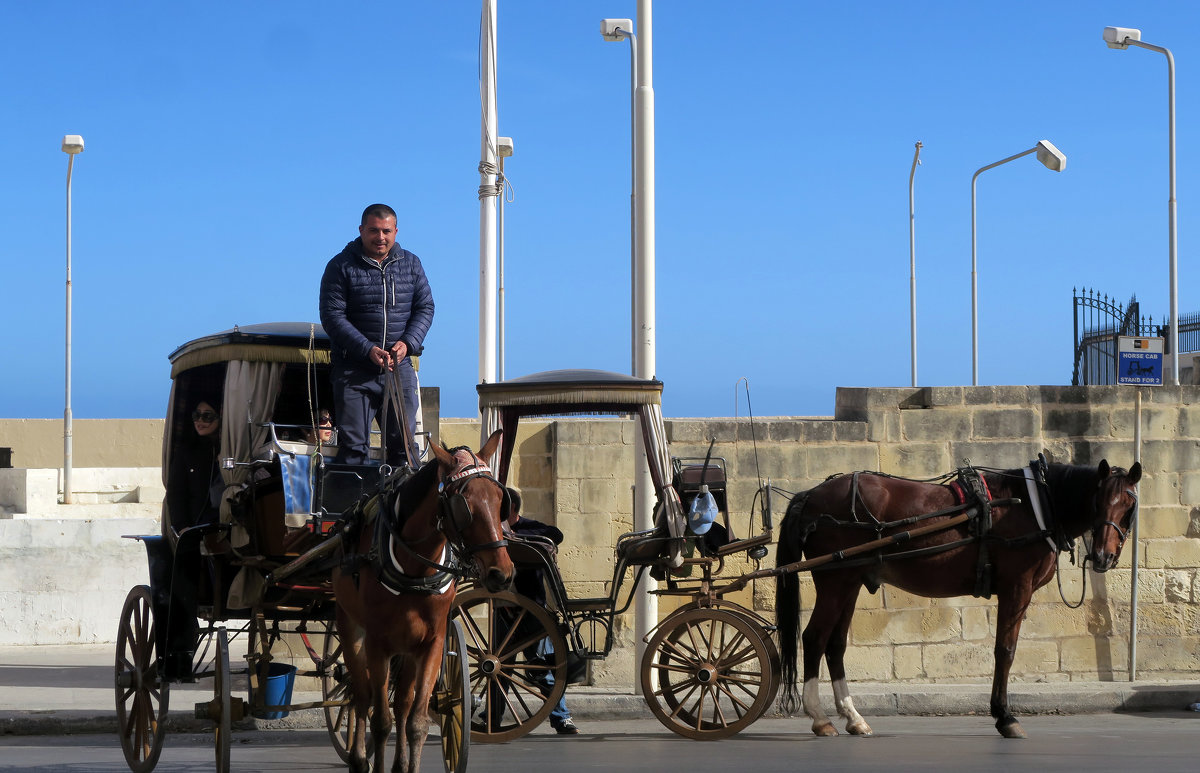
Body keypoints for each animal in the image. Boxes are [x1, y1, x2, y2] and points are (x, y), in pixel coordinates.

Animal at [331, 432, 513, 773]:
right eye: (464, 505)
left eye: (500, 500)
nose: (503, 573)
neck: (415, 568)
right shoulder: (377, 643)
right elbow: (380, 721)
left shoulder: (432, 642)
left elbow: (415, 721)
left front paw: (407, 762)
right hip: (350, 628)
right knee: (360, 694)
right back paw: (358, 757)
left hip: (407, 648)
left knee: (401, 703)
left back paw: (398, 762)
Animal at [772, 458, 1137, 734]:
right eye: (1098, 500)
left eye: (1130, 506)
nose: (1103, 556)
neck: (1038, 503)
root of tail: (810, 496)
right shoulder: (1016, 586)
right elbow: (1005, 650)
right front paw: (1004, 716)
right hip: (834, 581)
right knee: (814, 638)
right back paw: (819, 718)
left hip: (850, 582)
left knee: (834, 645)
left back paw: (853, 717)